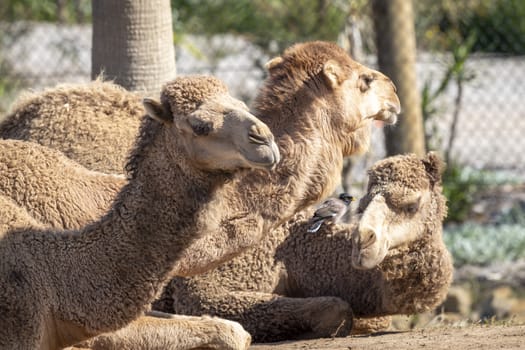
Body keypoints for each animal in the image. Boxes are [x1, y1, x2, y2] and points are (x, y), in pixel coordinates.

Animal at [166, 152, 452, 340]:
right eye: (364, 203)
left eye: (412, 204)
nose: (363, 241)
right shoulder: (208, 284)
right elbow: (336, 308)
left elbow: (375, 319)